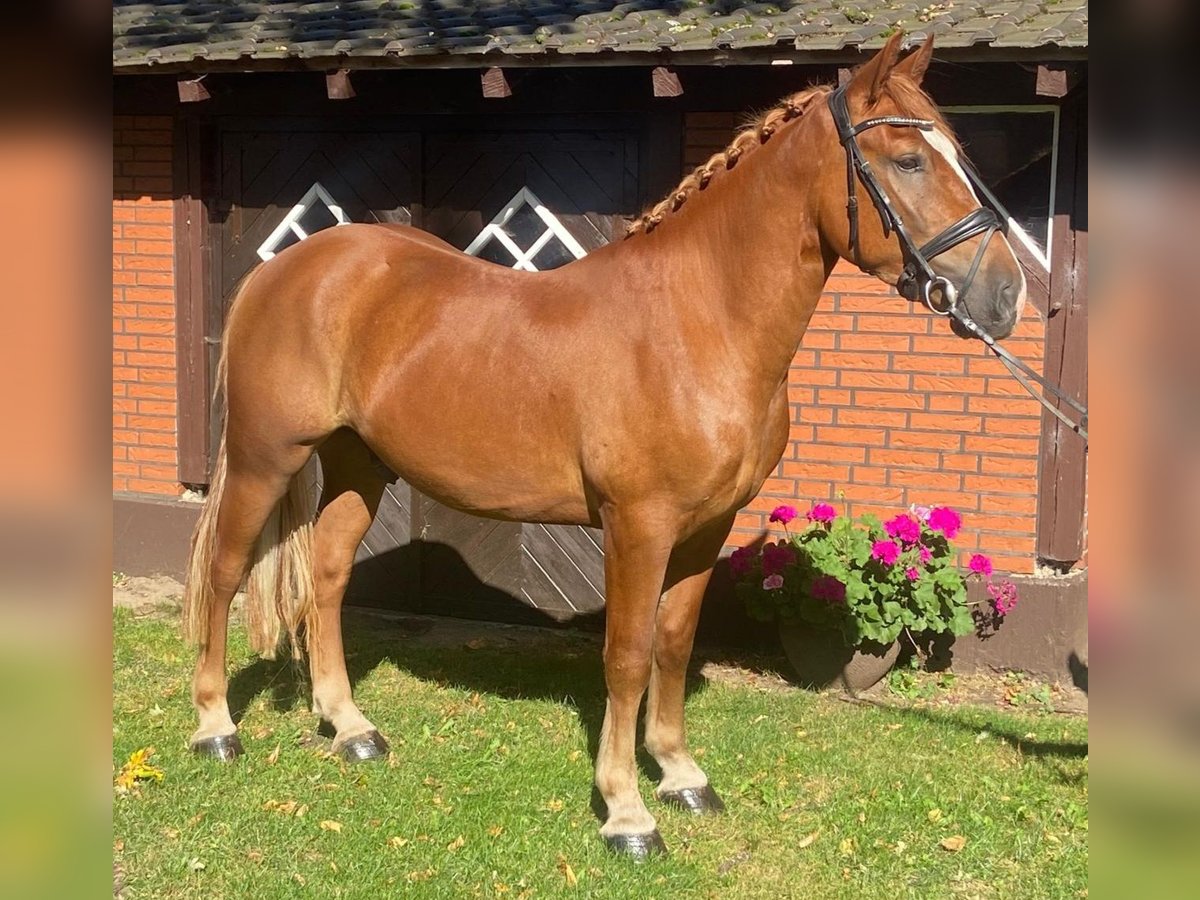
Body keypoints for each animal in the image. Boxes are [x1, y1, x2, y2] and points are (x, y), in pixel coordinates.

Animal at [180, 31, 1022, 854]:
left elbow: (674, 643)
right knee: (222, 573)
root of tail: (284, 270)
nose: (1005, 294)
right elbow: (626, 655)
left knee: (327, 576)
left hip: (361, 462)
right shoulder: (637, 526)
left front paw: (680, 775)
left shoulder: (706, 527)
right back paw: (216, 726)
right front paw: (626, 811)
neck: (698, 322)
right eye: (908, 160)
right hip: (263, 458)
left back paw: (350, 727)